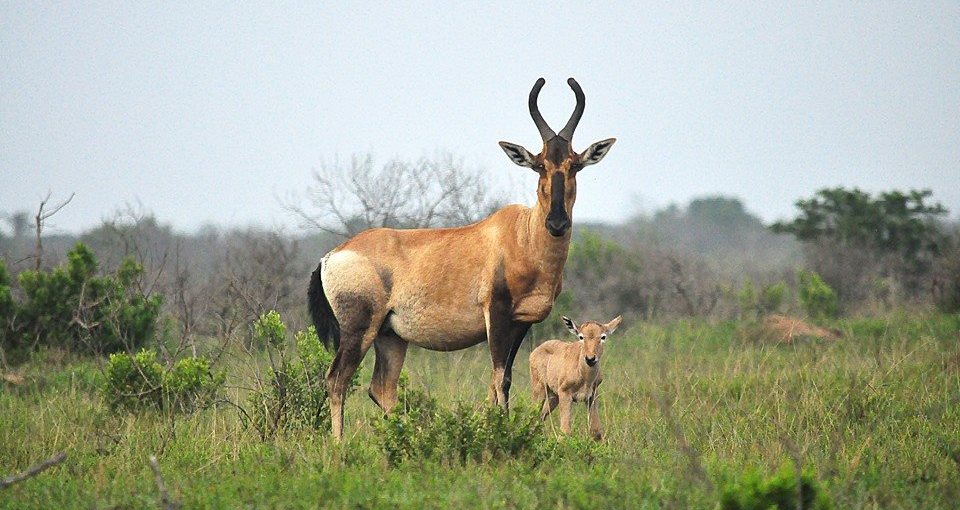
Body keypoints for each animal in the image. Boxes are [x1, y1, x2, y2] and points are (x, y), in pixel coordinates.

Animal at [312, 77, 620, 440]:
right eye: (539, 164)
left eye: (574, 164)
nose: (557, 223)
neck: (521, 234)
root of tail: (331, 256)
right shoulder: (496, 315)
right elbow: (500, 379)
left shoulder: (521, 323)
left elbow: (501, 380)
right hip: (358, 329)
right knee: (337, 380)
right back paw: (339, 445)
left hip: (390, 336)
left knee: (381, 388)